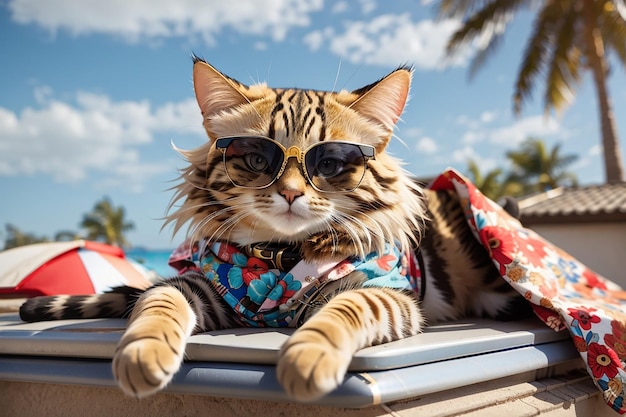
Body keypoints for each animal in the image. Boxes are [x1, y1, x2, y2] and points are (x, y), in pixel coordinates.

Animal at [19, 57, 528, 402]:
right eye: (257, 159)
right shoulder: (205, 289)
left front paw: (308, 357)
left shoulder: (387, 294)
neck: (278, 256)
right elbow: (157, 302)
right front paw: (143, 353)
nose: (290, 192)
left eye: (331, 163)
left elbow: (343, 311)